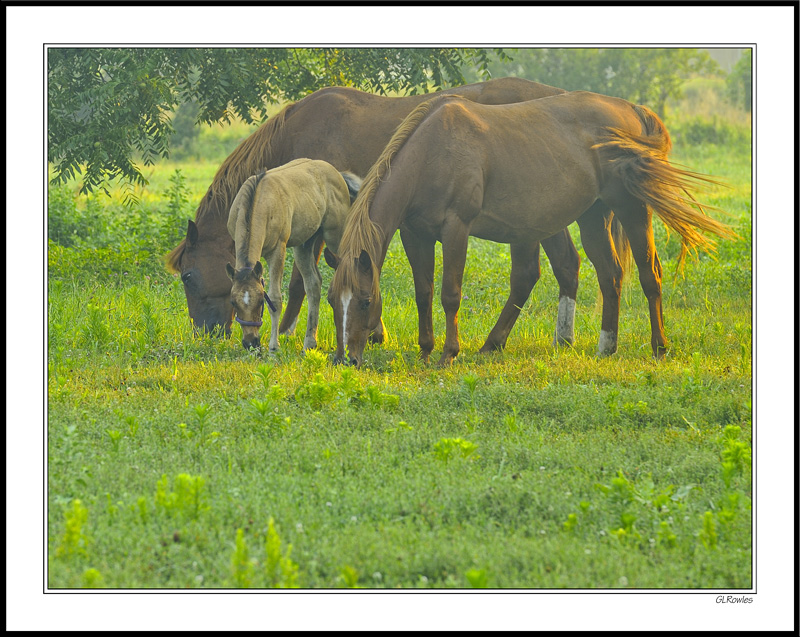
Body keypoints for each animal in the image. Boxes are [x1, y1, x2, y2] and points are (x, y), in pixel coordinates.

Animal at [227, 157, 360, 350]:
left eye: (260, 301)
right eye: (233, 302)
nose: (251, 342)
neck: (258, 199)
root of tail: (337, 173)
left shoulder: (278, 249)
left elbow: (275, 299)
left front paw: (273, 347)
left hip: (336, 237)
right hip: (304, 245)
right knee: (313, 284)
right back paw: (309, 343)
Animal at [328, 92, 736, 366]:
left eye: (365, 301)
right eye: (333, 301)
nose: (346, 360)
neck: (433, 151)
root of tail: (633, 110)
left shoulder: (456, 229)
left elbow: (449, 294)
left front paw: (448, 354)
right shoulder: (416, 234)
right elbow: (423, 293)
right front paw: (426, 350)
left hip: (632, 209)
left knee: (650, 275)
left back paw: (659, 347)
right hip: (594, 217)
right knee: (610, 275)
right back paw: (605, 347)